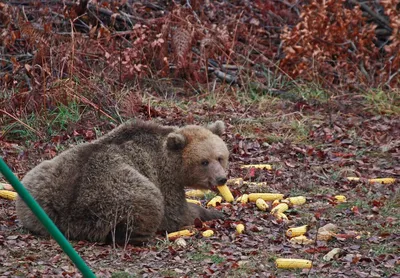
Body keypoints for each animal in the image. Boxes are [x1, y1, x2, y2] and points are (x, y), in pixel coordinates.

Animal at [15, 120, 228, 245]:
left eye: (220, 157)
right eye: (204, 162)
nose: (222, 178)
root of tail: (66, 217)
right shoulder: (162, 178)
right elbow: (175, 212)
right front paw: (212, 213)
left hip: (36, 185)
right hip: (114, 194)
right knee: (147, 202)